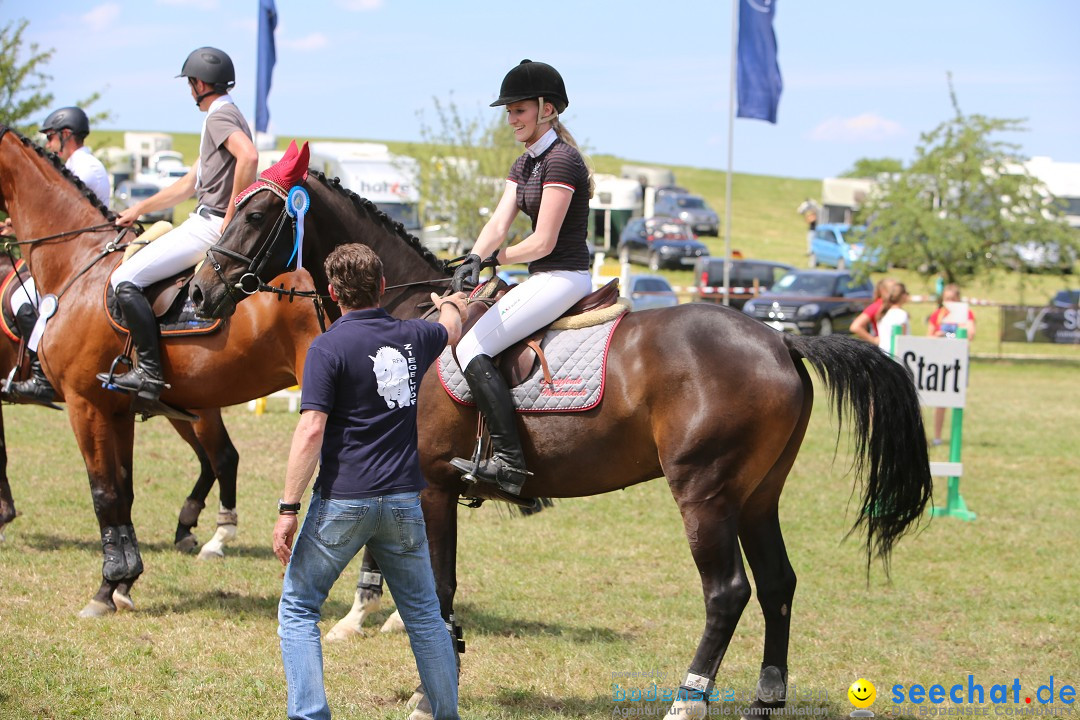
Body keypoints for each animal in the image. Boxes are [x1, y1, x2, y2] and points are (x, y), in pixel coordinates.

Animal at [0, 126, 324, 617]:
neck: (77, 264)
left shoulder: (84, 404)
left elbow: (103, 493)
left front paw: (107, 586)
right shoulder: (115, 408)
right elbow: (123, 490)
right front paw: (120, 583)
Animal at [190, 167, 933, 716]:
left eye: (255, 215)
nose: (198, 294)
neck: (405, 313)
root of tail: (781, 340)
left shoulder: (431, 485)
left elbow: (438, 584)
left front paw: (431, 692)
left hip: (706, 492)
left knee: (727, 592)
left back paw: (687, 701)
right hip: (758, 495)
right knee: (779, 584)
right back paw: (763, 702)